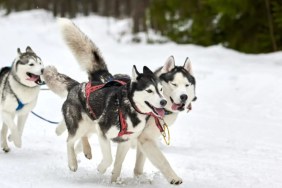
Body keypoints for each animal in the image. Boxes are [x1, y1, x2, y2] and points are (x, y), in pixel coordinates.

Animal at [41, 18, 165, 173]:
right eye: (149, 91)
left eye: (161, 89)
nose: (164, 102)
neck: (128, 108)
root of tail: (77, 86)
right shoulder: (102, 131)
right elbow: (109, 158)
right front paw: (101, 167)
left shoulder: (124, 140)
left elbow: (117, 162)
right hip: (80, 125)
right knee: (69, 140)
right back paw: (73, 162)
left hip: (89, 123)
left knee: (82, 136)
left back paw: (86, 150)